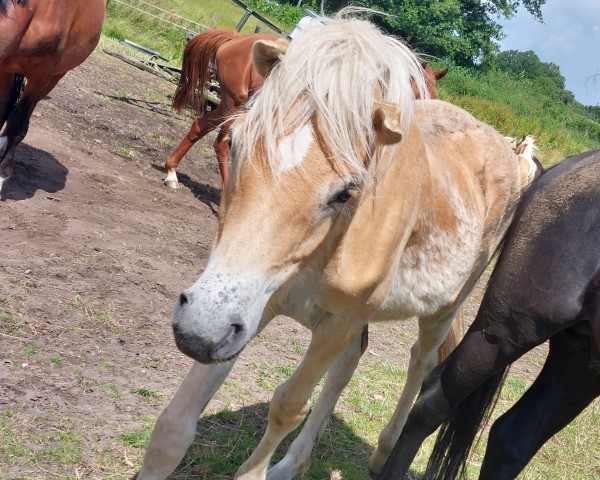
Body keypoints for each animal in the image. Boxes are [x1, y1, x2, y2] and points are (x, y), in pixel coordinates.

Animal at [163, 28, 446, 191]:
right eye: (417, 92)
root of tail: (236, 39)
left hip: (230, 103)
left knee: (200, 127)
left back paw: (172, 172)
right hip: (236, 104)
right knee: (220, 142)